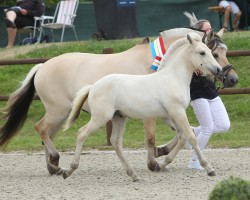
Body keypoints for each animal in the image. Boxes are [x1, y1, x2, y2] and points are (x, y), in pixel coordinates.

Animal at [0, 28, 237, 175]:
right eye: (212, 52)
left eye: (224, 51)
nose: (230, 78)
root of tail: (42, 66)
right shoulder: (155, 114)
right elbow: (155, 138)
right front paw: (154, 162)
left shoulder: (167, 112)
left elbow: (183, 135)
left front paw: (162, 157)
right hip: (59, 111)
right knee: (42, 129)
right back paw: (57, 162)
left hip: (62, 114)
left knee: (47, 133)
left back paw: (54, 166)